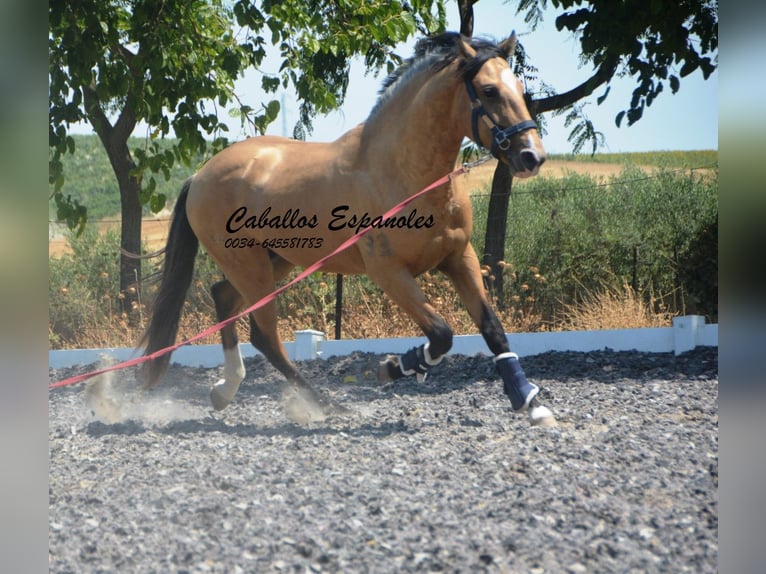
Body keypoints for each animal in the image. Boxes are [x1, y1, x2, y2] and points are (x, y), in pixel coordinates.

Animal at [139, 31, 556, 427]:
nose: (531, 156)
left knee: (224, 298)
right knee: (265, 335)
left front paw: (530, 404)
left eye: (520, 88)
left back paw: (225, 390)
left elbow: (492, 328)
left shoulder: (459, 257)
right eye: (488, 90)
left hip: (275, 262)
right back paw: (326, 405)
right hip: (249, 266)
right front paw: (396, 367)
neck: (405, 173)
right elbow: (441, 333)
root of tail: (199, 175)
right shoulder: (389, 272)